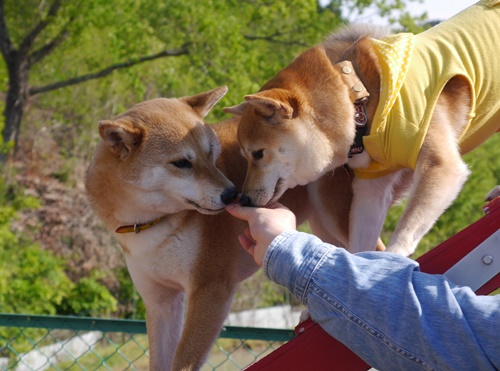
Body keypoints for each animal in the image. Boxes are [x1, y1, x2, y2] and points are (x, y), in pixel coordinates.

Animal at [84, 86, 354, 370]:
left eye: (211, 153)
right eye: (181, 163)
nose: (233, 194)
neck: (152, 226)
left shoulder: (210, 289)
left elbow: (183, 362)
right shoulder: (161, 302)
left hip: (334, 215)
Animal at [227, 2, 500, 258]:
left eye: (258, 154)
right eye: (246, 157)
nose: (245, 199)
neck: (359, 98)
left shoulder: (440, 166)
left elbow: (404, 233)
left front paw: (391, 260)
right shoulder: (372, 188)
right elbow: (360, 244)